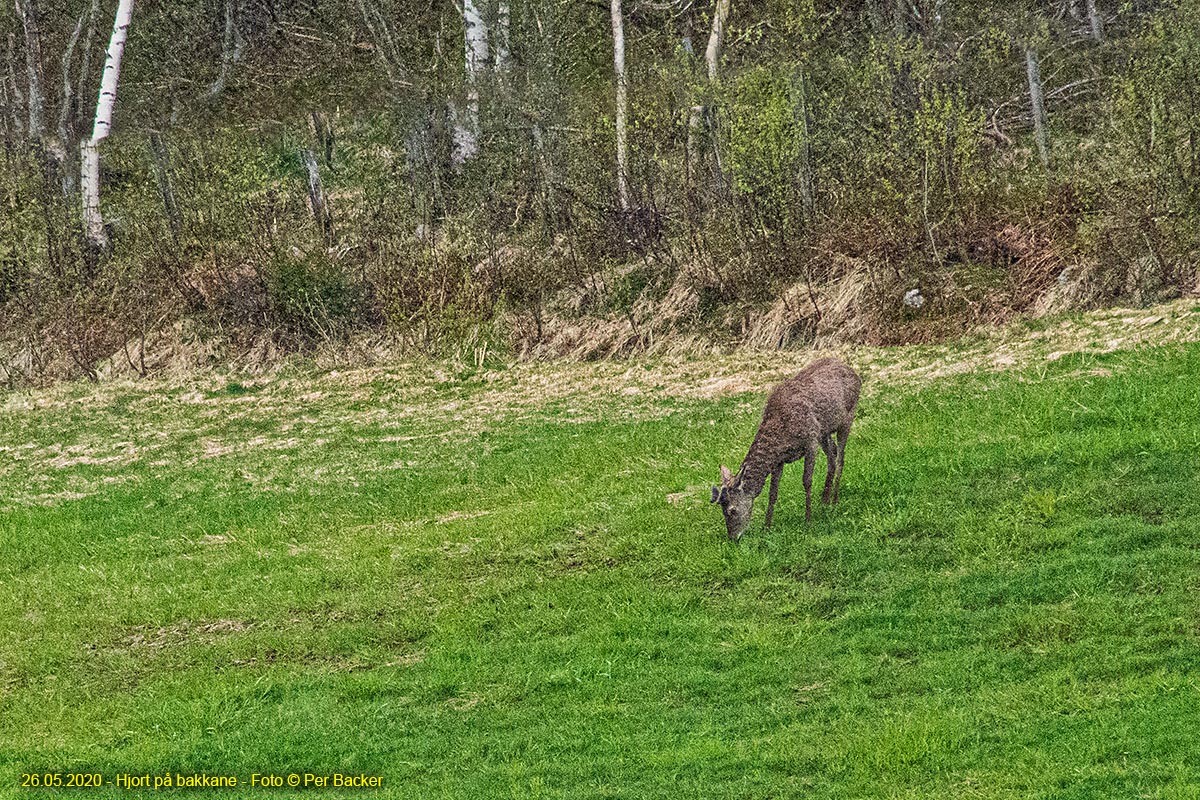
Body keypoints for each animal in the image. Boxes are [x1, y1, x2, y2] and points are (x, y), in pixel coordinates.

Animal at [705, 357, 859, 542]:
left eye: (732, 510)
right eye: (721, 510)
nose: (733, 538)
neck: (780, 435)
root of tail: (854, 373)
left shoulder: (810, 440)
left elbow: (807, 481)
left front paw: (808, 519)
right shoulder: (779, 460)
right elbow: (773, 492)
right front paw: (766, 527)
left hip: (847, 418)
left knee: (841, 458)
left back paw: (834, 500)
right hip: (825, 432)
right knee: (832, 455)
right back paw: (824, 500)